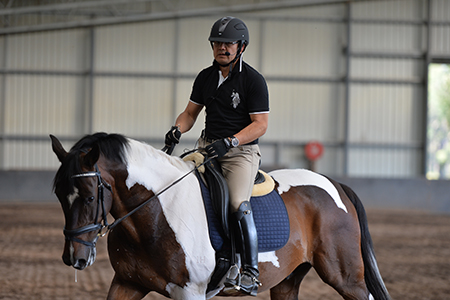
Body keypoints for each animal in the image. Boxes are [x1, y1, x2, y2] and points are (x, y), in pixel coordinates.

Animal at [51, 132, 392, 300]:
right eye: (59, 195)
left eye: (90, 196)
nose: (74, 258)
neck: (156, 210)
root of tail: (335, 184)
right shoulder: (126, 283)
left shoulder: (190, 293)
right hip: (287, 281)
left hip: (345, 278)